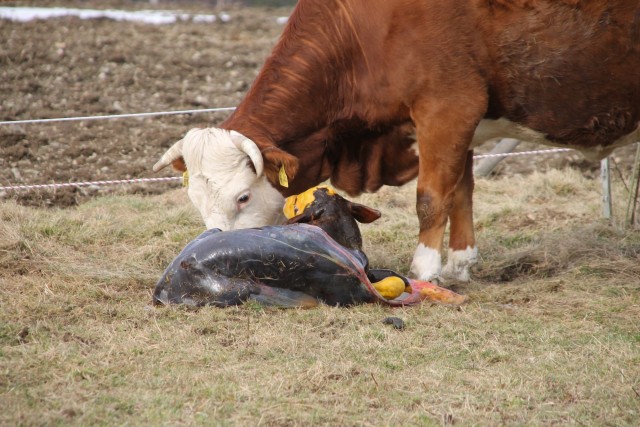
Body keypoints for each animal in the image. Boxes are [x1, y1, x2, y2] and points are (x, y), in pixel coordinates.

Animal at [155, 1, 640, 286]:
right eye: (196, 201)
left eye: (242, 196)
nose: (207, 251)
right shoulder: (461, 121)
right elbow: (461, 192)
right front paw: (459, 265)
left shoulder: (448, 107)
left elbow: (432, 198)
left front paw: (426, 269)